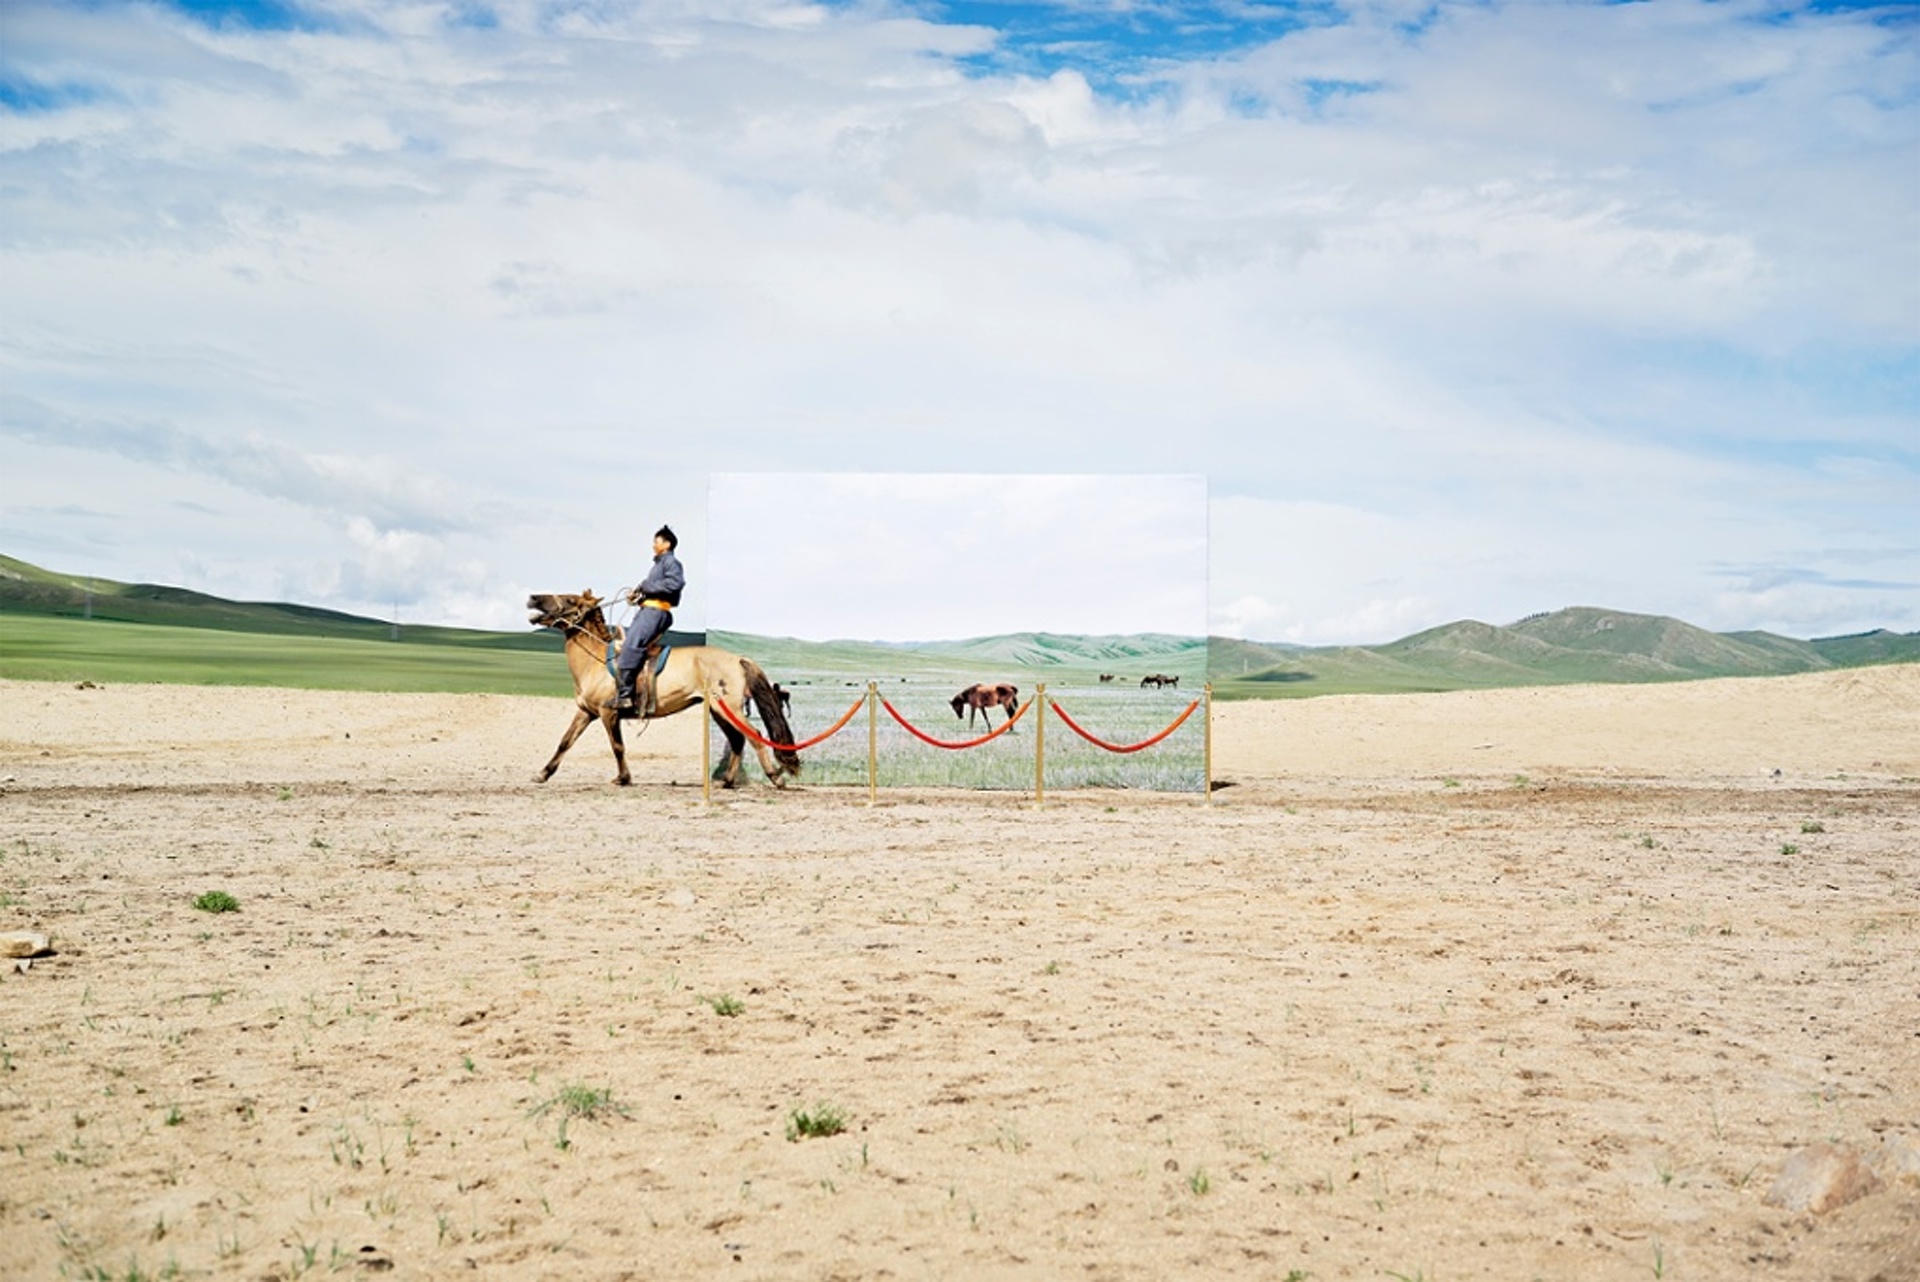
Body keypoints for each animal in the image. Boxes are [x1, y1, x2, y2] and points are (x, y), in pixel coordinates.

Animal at [522, 594, 798, 790]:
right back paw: (728, 781)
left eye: (570, 600)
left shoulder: (608, 713)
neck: (596, 662)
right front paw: (542, 774)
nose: (533, 598)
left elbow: (617, 746)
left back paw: (776, 778)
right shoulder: (586, 712)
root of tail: (737, 658)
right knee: (737, 739)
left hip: (728, 708)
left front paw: (623, 778)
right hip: (718, 710)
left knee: (753, 735)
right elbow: (565, 741)